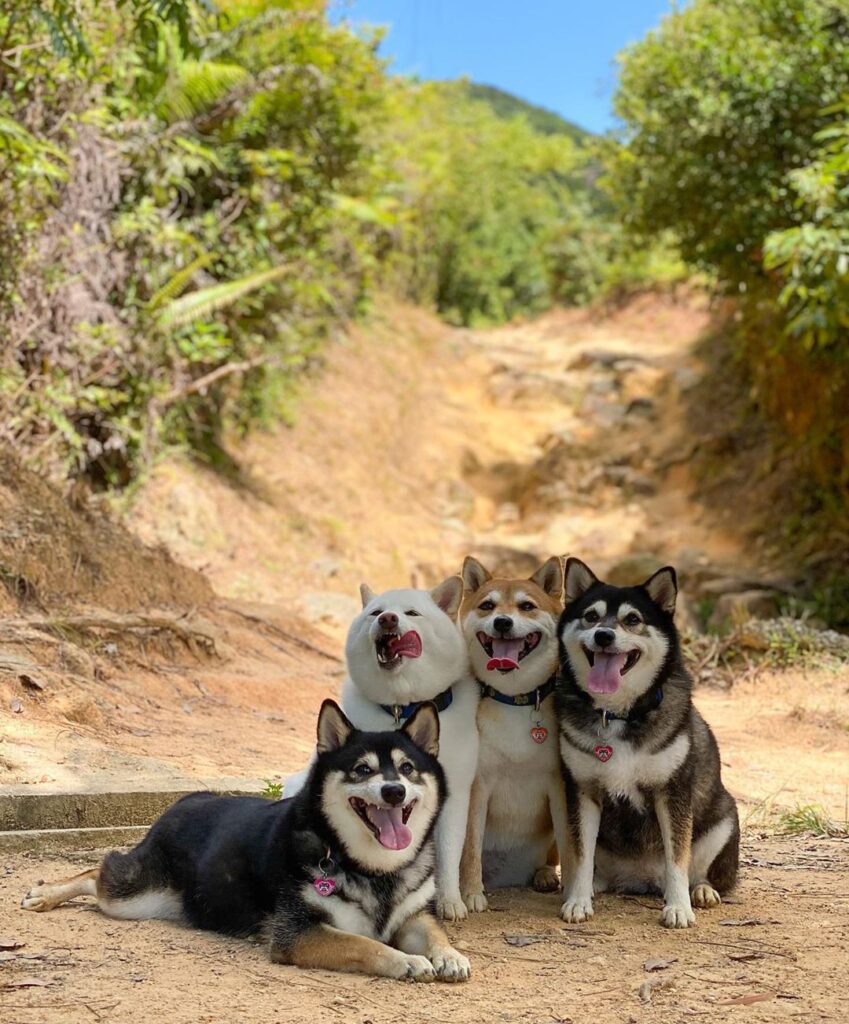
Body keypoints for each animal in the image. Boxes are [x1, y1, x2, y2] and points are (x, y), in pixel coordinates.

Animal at [21, 700, 471, 978]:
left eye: (408, 769)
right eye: (362, 770)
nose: (394, 791)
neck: (369, 866)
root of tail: (186, 798)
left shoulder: (413, 916)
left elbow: (435, 932)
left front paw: (450, 956)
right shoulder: (297, 934)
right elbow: (365, 945)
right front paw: (405, 961)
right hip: (131, 897)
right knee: (97, 871)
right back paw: (45, 894)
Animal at [284, 577, 477, 921]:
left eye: (412, 613)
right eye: (376, 612)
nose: (387, 619)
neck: (401, 707)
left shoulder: (455, 796)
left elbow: (448, 853)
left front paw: (449, 900)